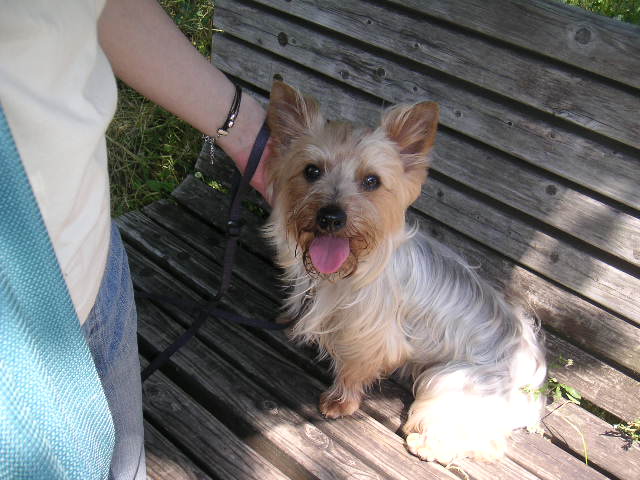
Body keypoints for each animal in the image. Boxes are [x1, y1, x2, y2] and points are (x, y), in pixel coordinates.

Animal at [262, 81, 547, 463]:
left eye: (371, 181)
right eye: (311, 171)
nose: (331, 216)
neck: (352, 266)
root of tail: (533, 375)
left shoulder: (372, 335)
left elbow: (356, 367)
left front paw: (340, 401)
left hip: (454, 379)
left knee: (486, 440)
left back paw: (428, 443)